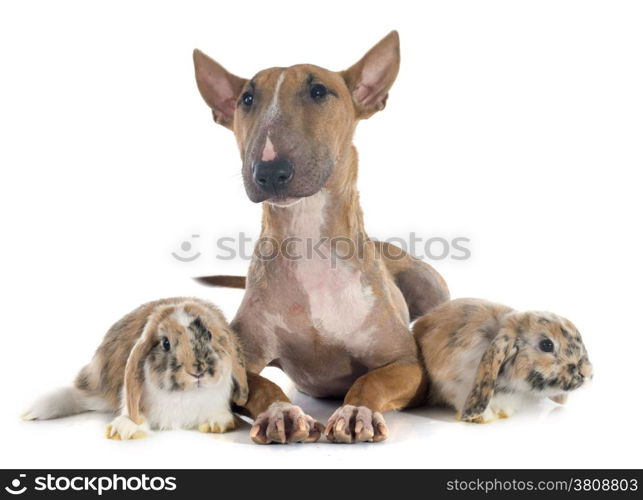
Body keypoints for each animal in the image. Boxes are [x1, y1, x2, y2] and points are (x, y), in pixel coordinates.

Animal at [23, 298, 249, 440]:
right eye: (165, 343)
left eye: (209, 335)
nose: (198, 371)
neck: (185, 395)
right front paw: (124, 429)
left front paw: (217, 423)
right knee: (76, 396)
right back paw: (32, 411)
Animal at [194, 31, 450, 444]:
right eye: (246, 99)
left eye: (318, 91)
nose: (270, 171)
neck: (308, 236)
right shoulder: (237, 361)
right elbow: (263, 385)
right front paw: (281, 412)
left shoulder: (408, 365)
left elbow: (371, 380)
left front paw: (356, 411)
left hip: (431, 287)